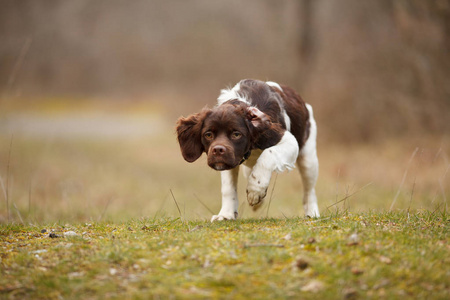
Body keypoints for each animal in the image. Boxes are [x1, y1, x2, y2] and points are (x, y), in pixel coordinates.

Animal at [176, 78, 320, 221]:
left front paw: (255, 190)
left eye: (236, 134)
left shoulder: (289, 141)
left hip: (308, 159)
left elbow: (268, 154)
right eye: (208, 135)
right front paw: (226, 214)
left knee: (309, 189)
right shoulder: (227, 162)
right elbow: (228, 187)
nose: (217, 150)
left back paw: (312, 212)